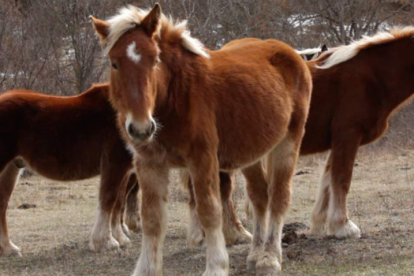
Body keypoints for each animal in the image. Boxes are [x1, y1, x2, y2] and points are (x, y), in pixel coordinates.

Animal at [0, 83, 139, 256]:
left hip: (10, 169)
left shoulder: (124, 170)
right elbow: (109, 199)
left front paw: (120, 238)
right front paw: (106, 243)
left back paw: (9, 248)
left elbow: (118, 202)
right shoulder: (114, 164)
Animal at [90, 4, 310, 276]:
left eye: (155, 60)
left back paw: (270, 258)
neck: (176, 96)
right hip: (252, 154)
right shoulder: (149, 163)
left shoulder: (202, 159)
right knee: (260, 197)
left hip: (288, 142)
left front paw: (216, 266)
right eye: (114, 63)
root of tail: (291, 53)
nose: (141, 128)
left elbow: (209, 210)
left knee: (279, 196)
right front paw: (147, 269)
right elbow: (152, 219)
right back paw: (256, 254)